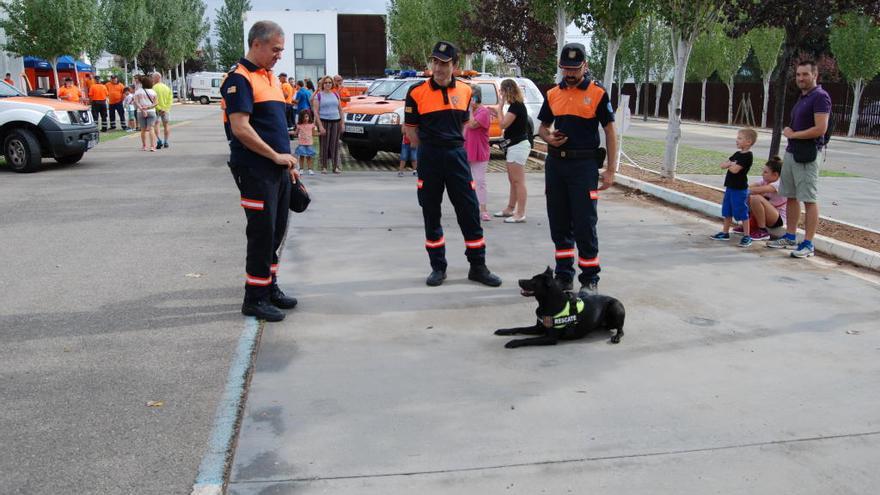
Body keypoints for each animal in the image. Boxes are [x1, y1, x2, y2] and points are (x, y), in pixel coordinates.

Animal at [496, 268, 624, 348]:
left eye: (533, 281)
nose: (519, 280)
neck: (546, 302)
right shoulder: (538, 328)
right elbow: (519, 328)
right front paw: (503, 331)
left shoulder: (550, 338)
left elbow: (527, 340)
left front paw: (513, 342)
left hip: (616, 307)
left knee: (620, 330)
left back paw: (616, 337)